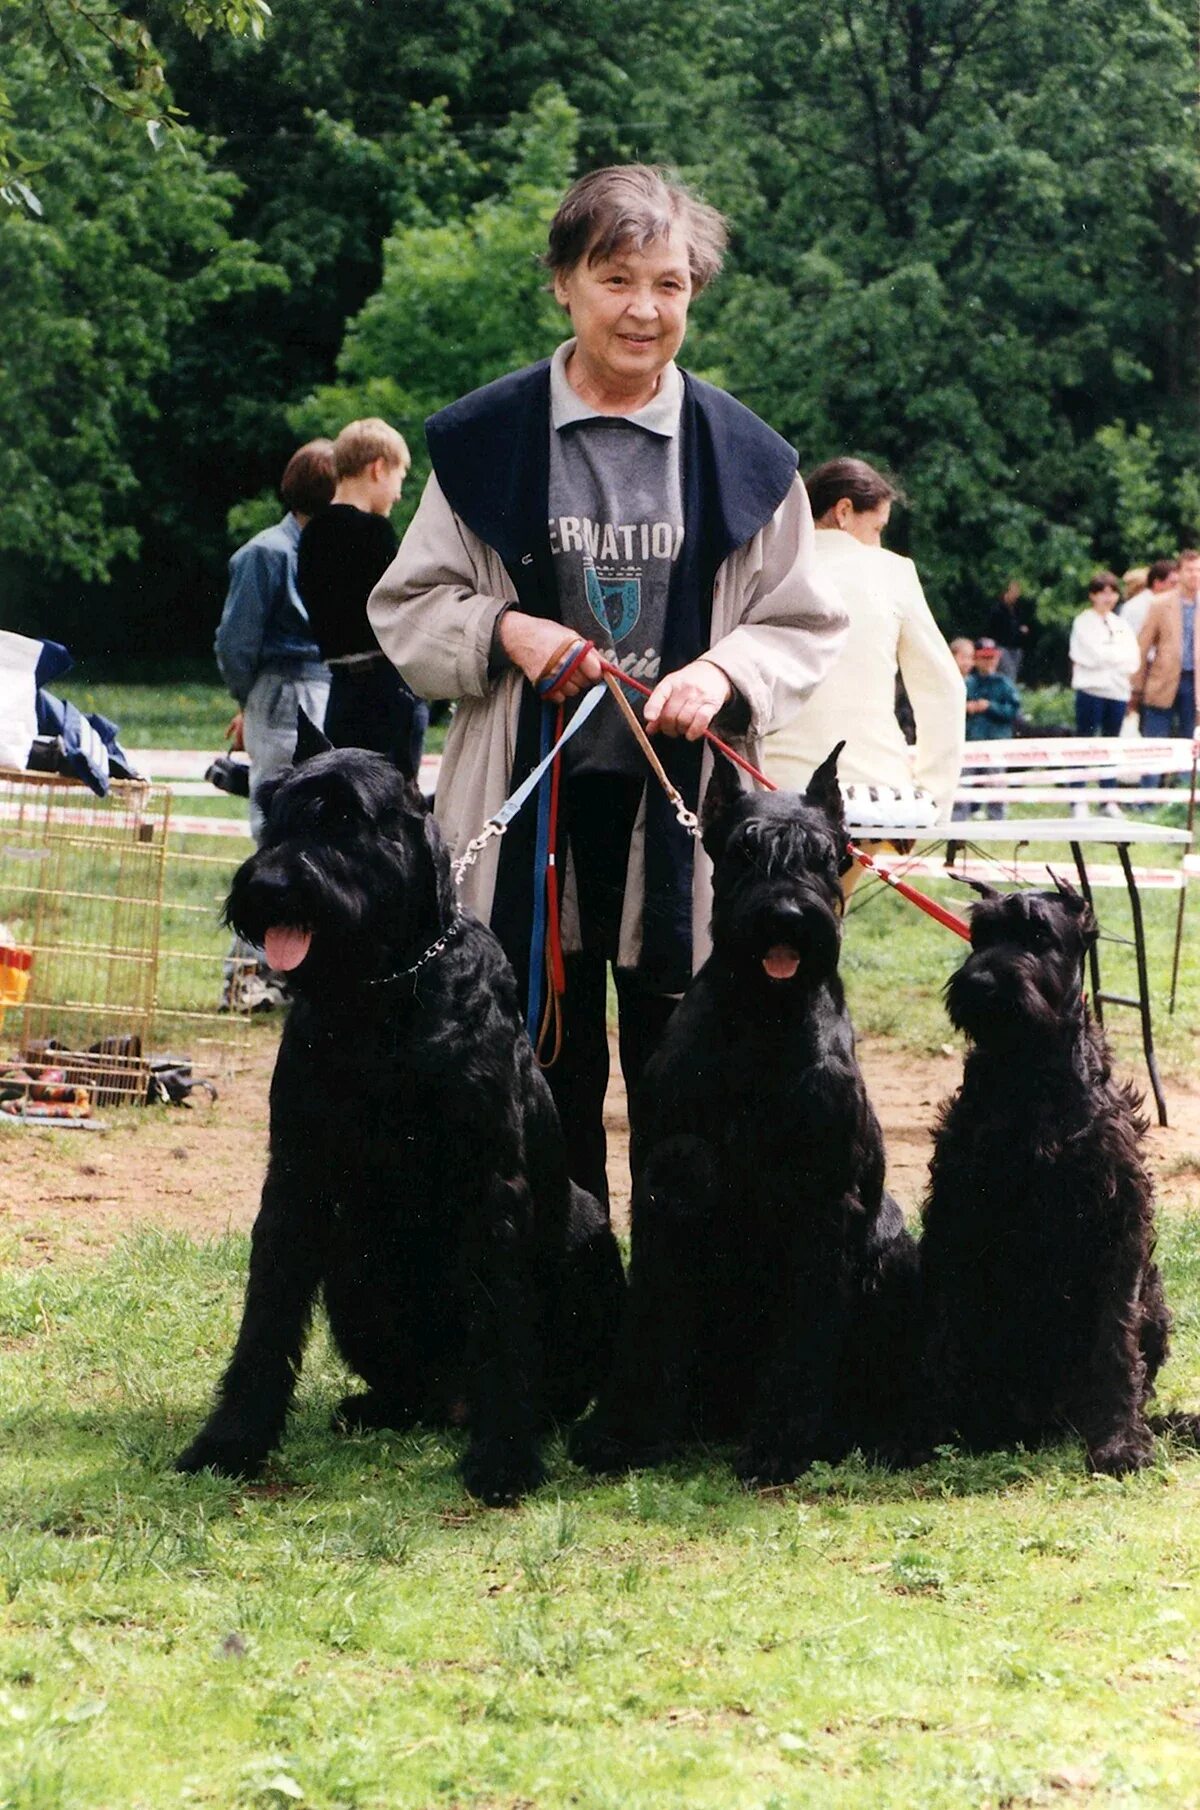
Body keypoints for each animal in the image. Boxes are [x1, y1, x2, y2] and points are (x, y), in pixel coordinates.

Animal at [180, 727, 629, 1505]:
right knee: (411, 1387)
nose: (268, 888)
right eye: (278, 812)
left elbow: (504, 1324)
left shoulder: (492, 1184)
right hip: (351, 1271)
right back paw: (382, 1406)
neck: (382, 990)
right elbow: (266, 1316)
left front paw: (505, 1459)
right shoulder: (296, 1176)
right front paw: (231, 1439)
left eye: (345, 819)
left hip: (589, 1236)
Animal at [571, 742, 919, 1476]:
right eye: (743, 849)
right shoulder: (672, 1178)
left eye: (822, 855)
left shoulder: (824, 1198)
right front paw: (622, 1433)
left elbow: (806, 1331)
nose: (786, 917)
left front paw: (783, 1442)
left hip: (896, 1256)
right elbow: (653, 1312)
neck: (763, 1018)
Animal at [919, 883, 1172, 1476]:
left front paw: (1120, 1441)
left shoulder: (1118, 1223)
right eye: (981, 934)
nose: (981, 983)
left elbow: (1116, 1341)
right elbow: (948, 1329)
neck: (1030, 1072)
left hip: (1155, 1296)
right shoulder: (956, 1215)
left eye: (1038, 934)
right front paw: (937, 1429)